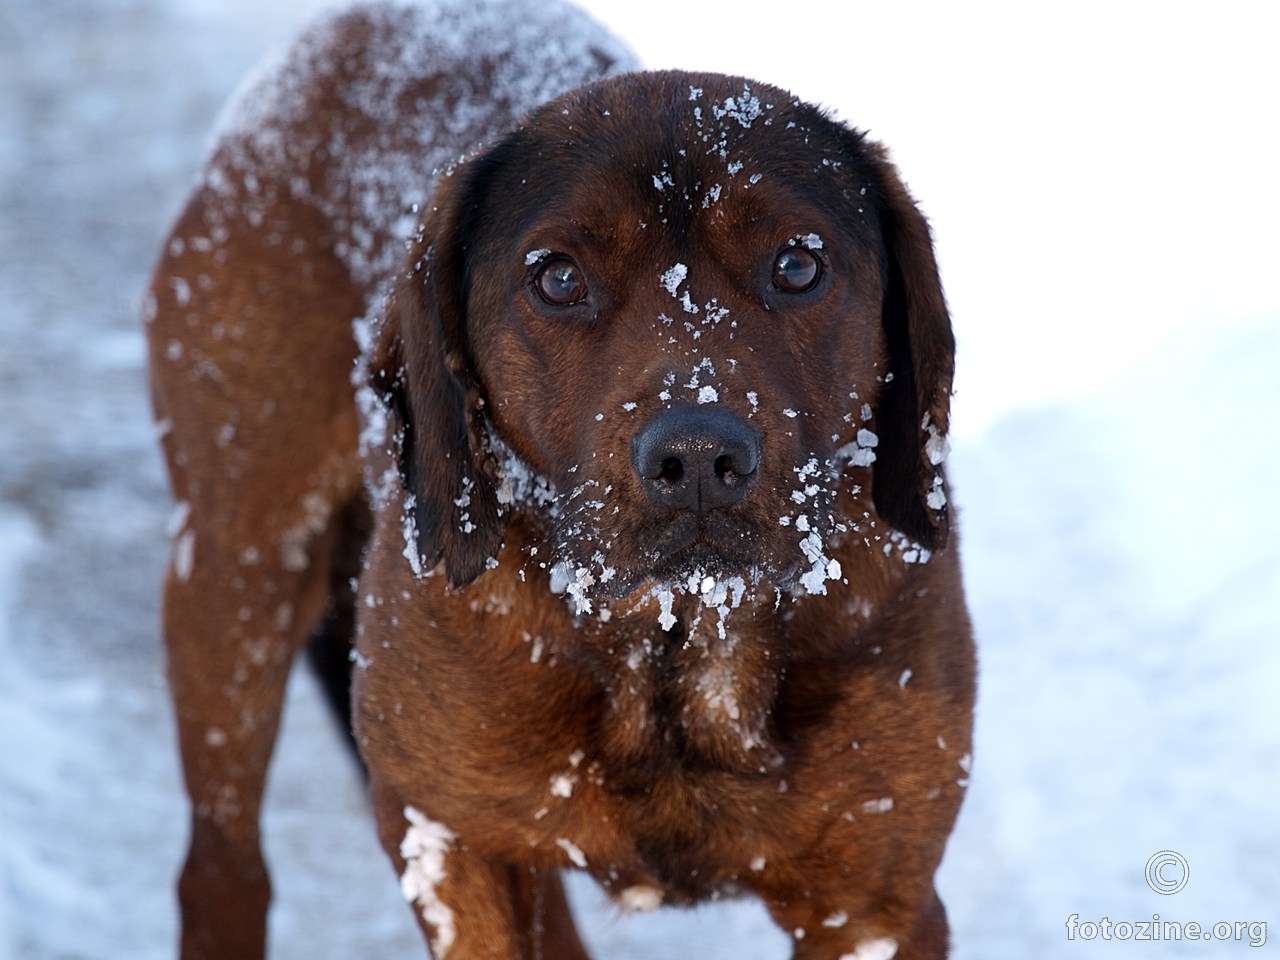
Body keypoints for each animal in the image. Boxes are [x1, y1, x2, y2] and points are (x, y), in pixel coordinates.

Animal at [145, 1, 972, 960]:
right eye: (559, 278)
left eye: (799, 265)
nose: (698, 458)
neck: (670, 653)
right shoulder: (449, 842)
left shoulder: (876, 900)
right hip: (236, 573)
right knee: (221, 858)